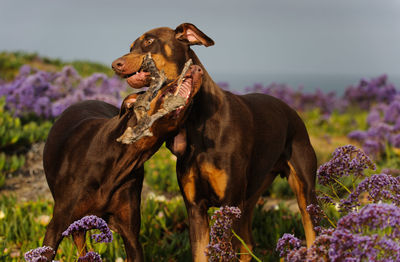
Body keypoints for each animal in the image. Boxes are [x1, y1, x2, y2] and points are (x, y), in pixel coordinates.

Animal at [111, 23, 316, 260]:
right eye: (131, 46)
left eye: (149, 41)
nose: (115, 64)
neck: (199, 122)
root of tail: (293, 112)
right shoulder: (195, 208)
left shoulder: (228, 205)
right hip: (250, 196)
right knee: (247, 243)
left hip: (304, 191)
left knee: (311, 231)